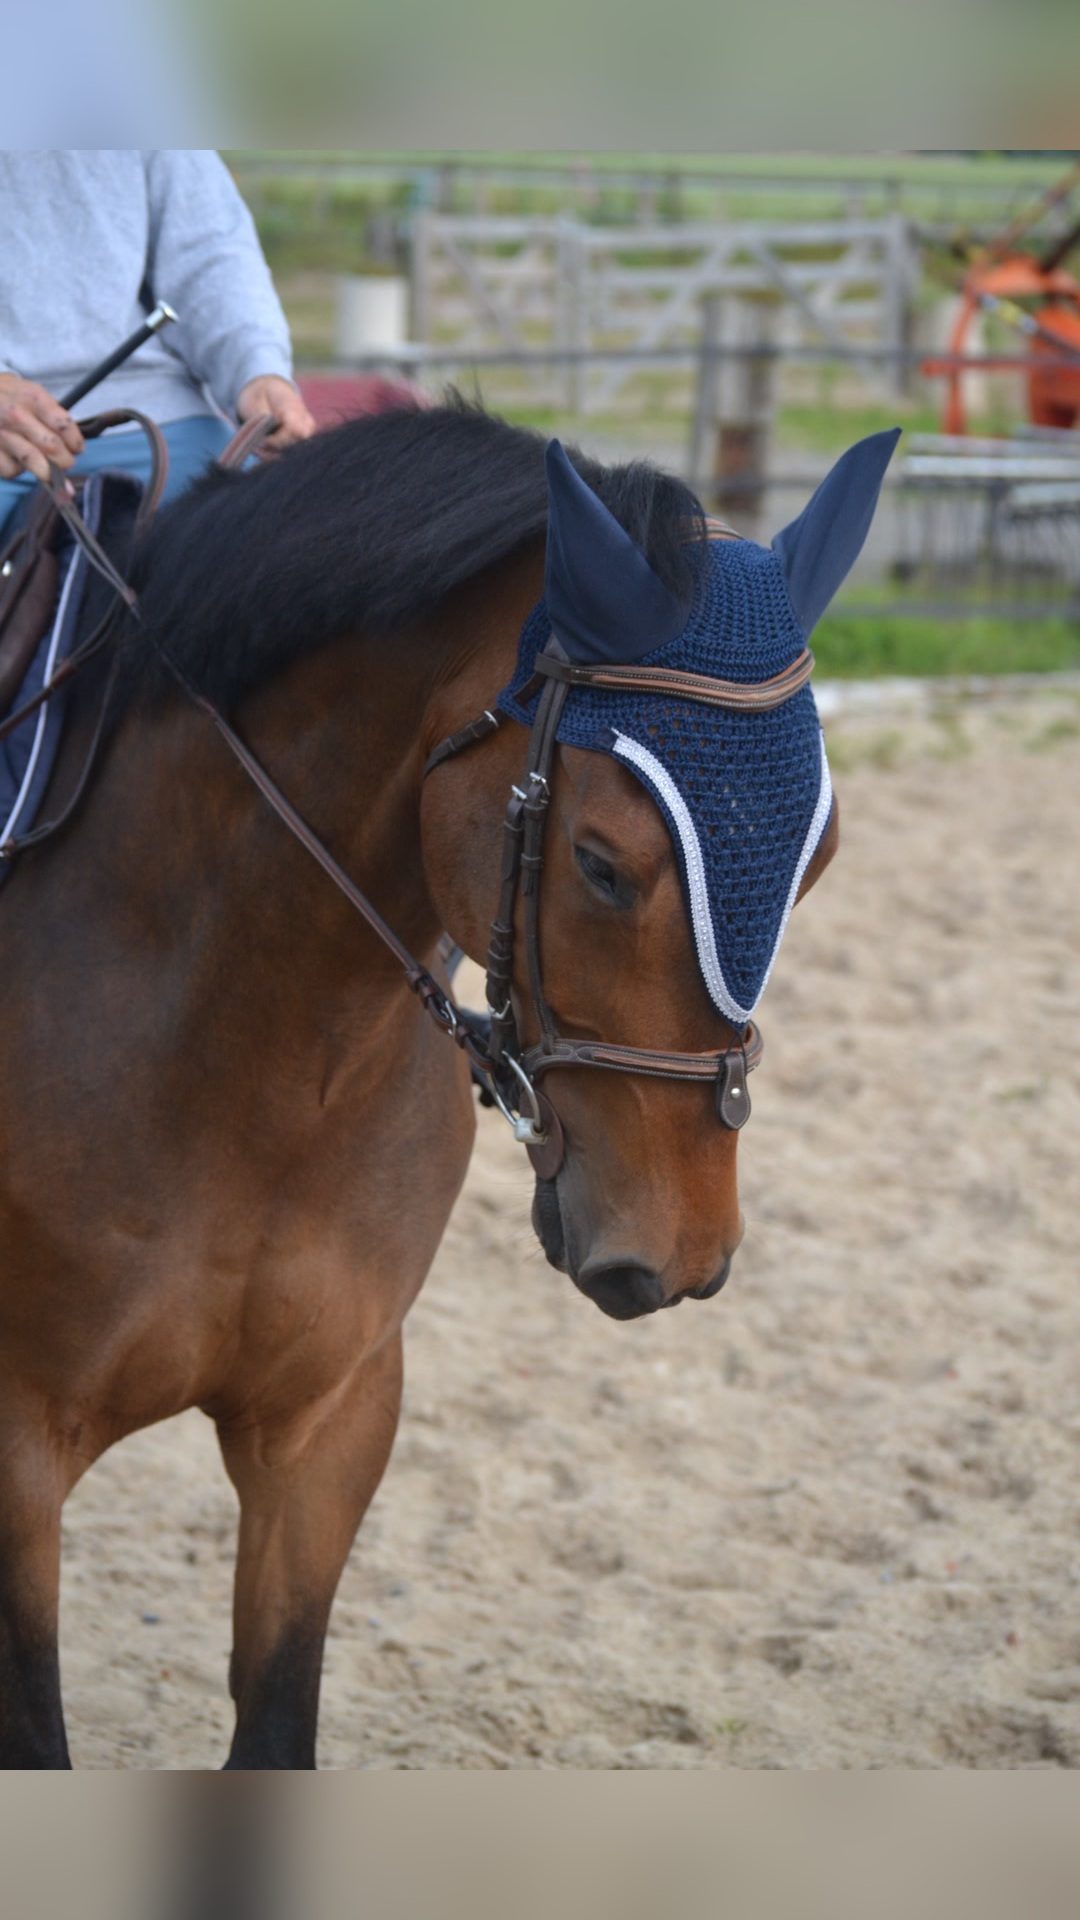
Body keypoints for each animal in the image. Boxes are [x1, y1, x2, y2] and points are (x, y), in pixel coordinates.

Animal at [0, 400, 893, 1767]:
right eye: (602, 864)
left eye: (821, 855)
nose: (682, 1253)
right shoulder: (14, 1454)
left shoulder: (330, 1422)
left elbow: (277, 1724)